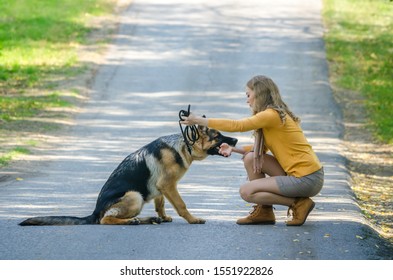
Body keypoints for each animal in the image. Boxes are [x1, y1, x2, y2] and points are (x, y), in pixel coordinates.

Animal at [19, 126, 236, 226]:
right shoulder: (168, 185)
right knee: (106, 219)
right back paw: (131, 221)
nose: (235, 140)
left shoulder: (160, 188)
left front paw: (163, 217)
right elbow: (181, 205)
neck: (184, 146)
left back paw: (146, 220)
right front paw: (193, 219)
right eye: (217, 136)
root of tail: (94, 212)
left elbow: (160, 204)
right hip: (134, 196)